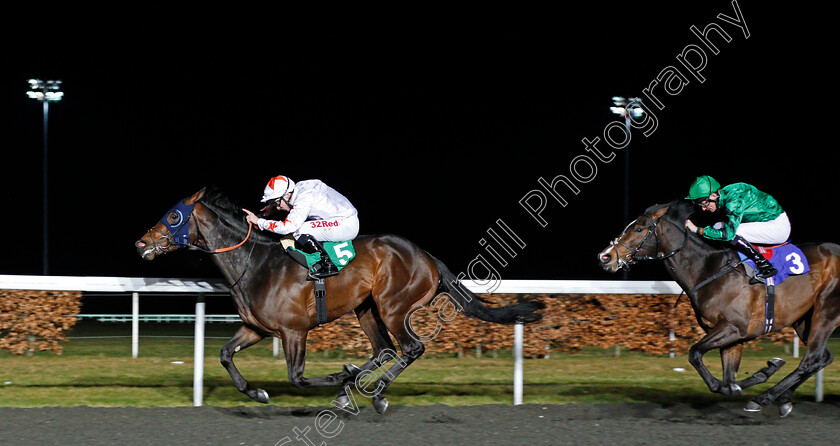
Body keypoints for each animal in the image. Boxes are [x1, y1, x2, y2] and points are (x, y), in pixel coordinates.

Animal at [136, 186, 544, 412]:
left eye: (173, 216)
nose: (141, 244)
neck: (256, 263)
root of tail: (427, 256)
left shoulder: (294, 331)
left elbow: (298, 378)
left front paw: (337, 377)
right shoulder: (257, 328)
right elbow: (224, 355)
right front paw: (257, 393)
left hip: (393, 306)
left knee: (409, 348)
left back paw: (374, 393)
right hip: (366, 308)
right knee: (385, 350)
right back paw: (357, 383)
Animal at [596, 200, 840, 416]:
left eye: (638, 229)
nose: (605, 256)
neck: (708, 269)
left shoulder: (733, 328)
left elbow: (695, 354)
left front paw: (757, 378)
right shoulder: (733, 337)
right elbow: (728, 379)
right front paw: (760, 374)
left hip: (825, 312)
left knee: (812, 359)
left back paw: (764, 398)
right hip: (803, 319)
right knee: (822, 358)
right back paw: (784, 399)